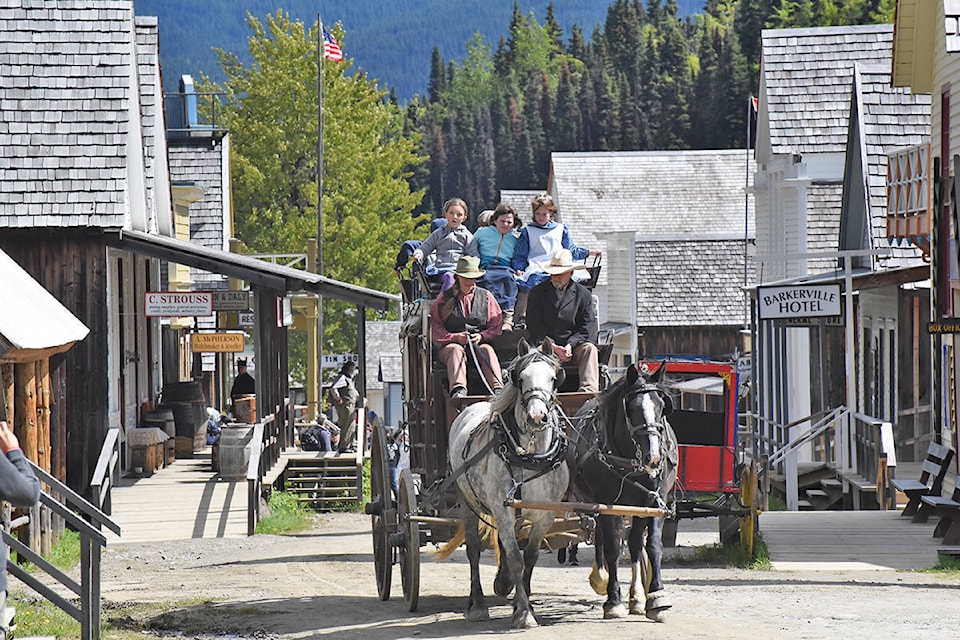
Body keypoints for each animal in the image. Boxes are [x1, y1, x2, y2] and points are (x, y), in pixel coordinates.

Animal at [448, 338, 568, 628]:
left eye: (553, 378)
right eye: (521, 378)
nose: (536, 417)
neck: (530, 455)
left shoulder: (544, 515)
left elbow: (531, 557)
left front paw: (522, 604)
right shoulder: (502, 510)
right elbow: (515, 558)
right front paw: (524, 613)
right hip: (467, 502)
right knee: (473, 550)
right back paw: (478, 604)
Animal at [568, 364, 680, 620]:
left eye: (662, 406)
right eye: (633, 409)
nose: (654, 458)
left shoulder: (656, 501)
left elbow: (652, 545)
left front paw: (656, 597)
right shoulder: (607, 503)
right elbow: (612, 548)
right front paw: (613, 601)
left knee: (635, 541)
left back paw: (637, 597)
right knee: (603, 536)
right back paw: (601, 578)